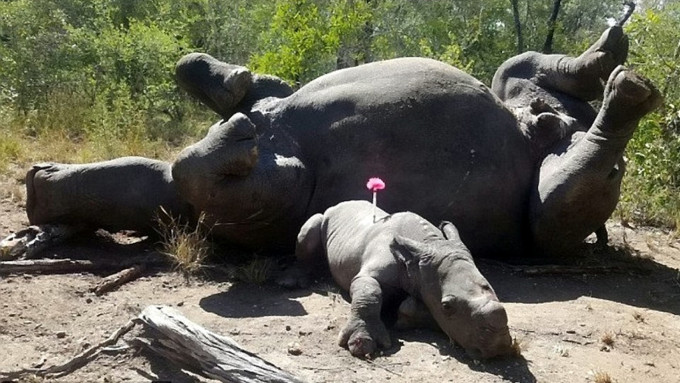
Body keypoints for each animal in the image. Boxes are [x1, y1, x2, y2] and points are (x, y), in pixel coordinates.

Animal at [280, 201, 510, 360]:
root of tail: (337, 205)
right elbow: (370, 292)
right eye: (447, 306)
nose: (497, 348)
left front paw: (406, 315)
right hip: (324, 217)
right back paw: (292, 282)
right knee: (311, 227)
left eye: (491, 288)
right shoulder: (370, 273)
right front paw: (362, 344)